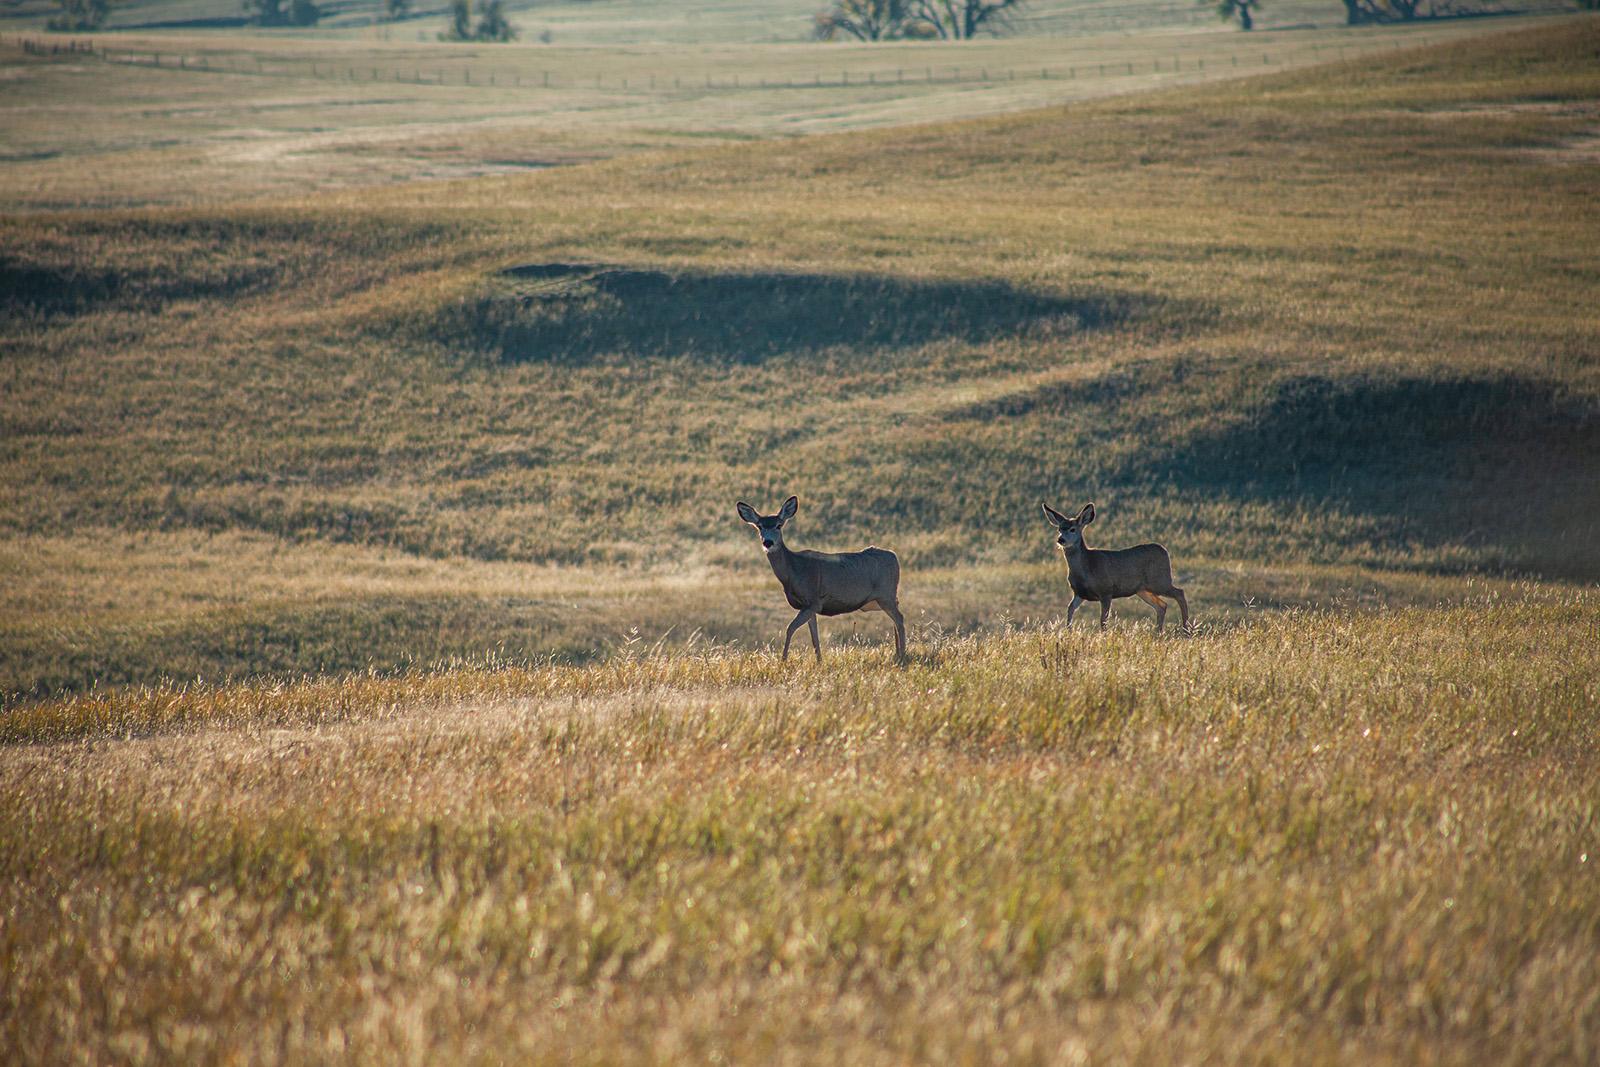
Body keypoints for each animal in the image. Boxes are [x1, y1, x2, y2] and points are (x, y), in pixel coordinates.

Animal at [736, 495, 906, 664]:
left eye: (779, 525)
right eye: (759, 526)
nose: (768, 542)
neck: (793, 571)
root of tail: (894, 556)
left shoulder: (813, 601)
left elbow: (790, 628)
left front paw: (783, 660)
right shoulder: (808, 606)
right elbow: (814, 636)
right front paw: (819, 661)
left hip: (885, 594)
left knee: (899, 618)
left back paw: (902, 656)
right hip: (879, 600)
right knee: (896, 615)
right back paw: (897, 653)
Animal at [1040, 502, 1191, 633]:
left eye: (1073, 529)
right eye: (1059, 529)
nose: (1061, 539)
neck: (1087, 567)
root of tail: (1165, 551)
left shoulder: (1106, 590)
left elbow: (1103, 620)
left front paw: (1103, 636)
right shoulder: (1079, 593)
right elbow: (1070, 609)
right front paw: (1068, 631)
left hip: (1160, 581)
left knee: (1179, 593)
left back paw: (1185, 629)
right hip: (1142, 589)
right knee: (1162, 606)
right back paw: (1158, 632)